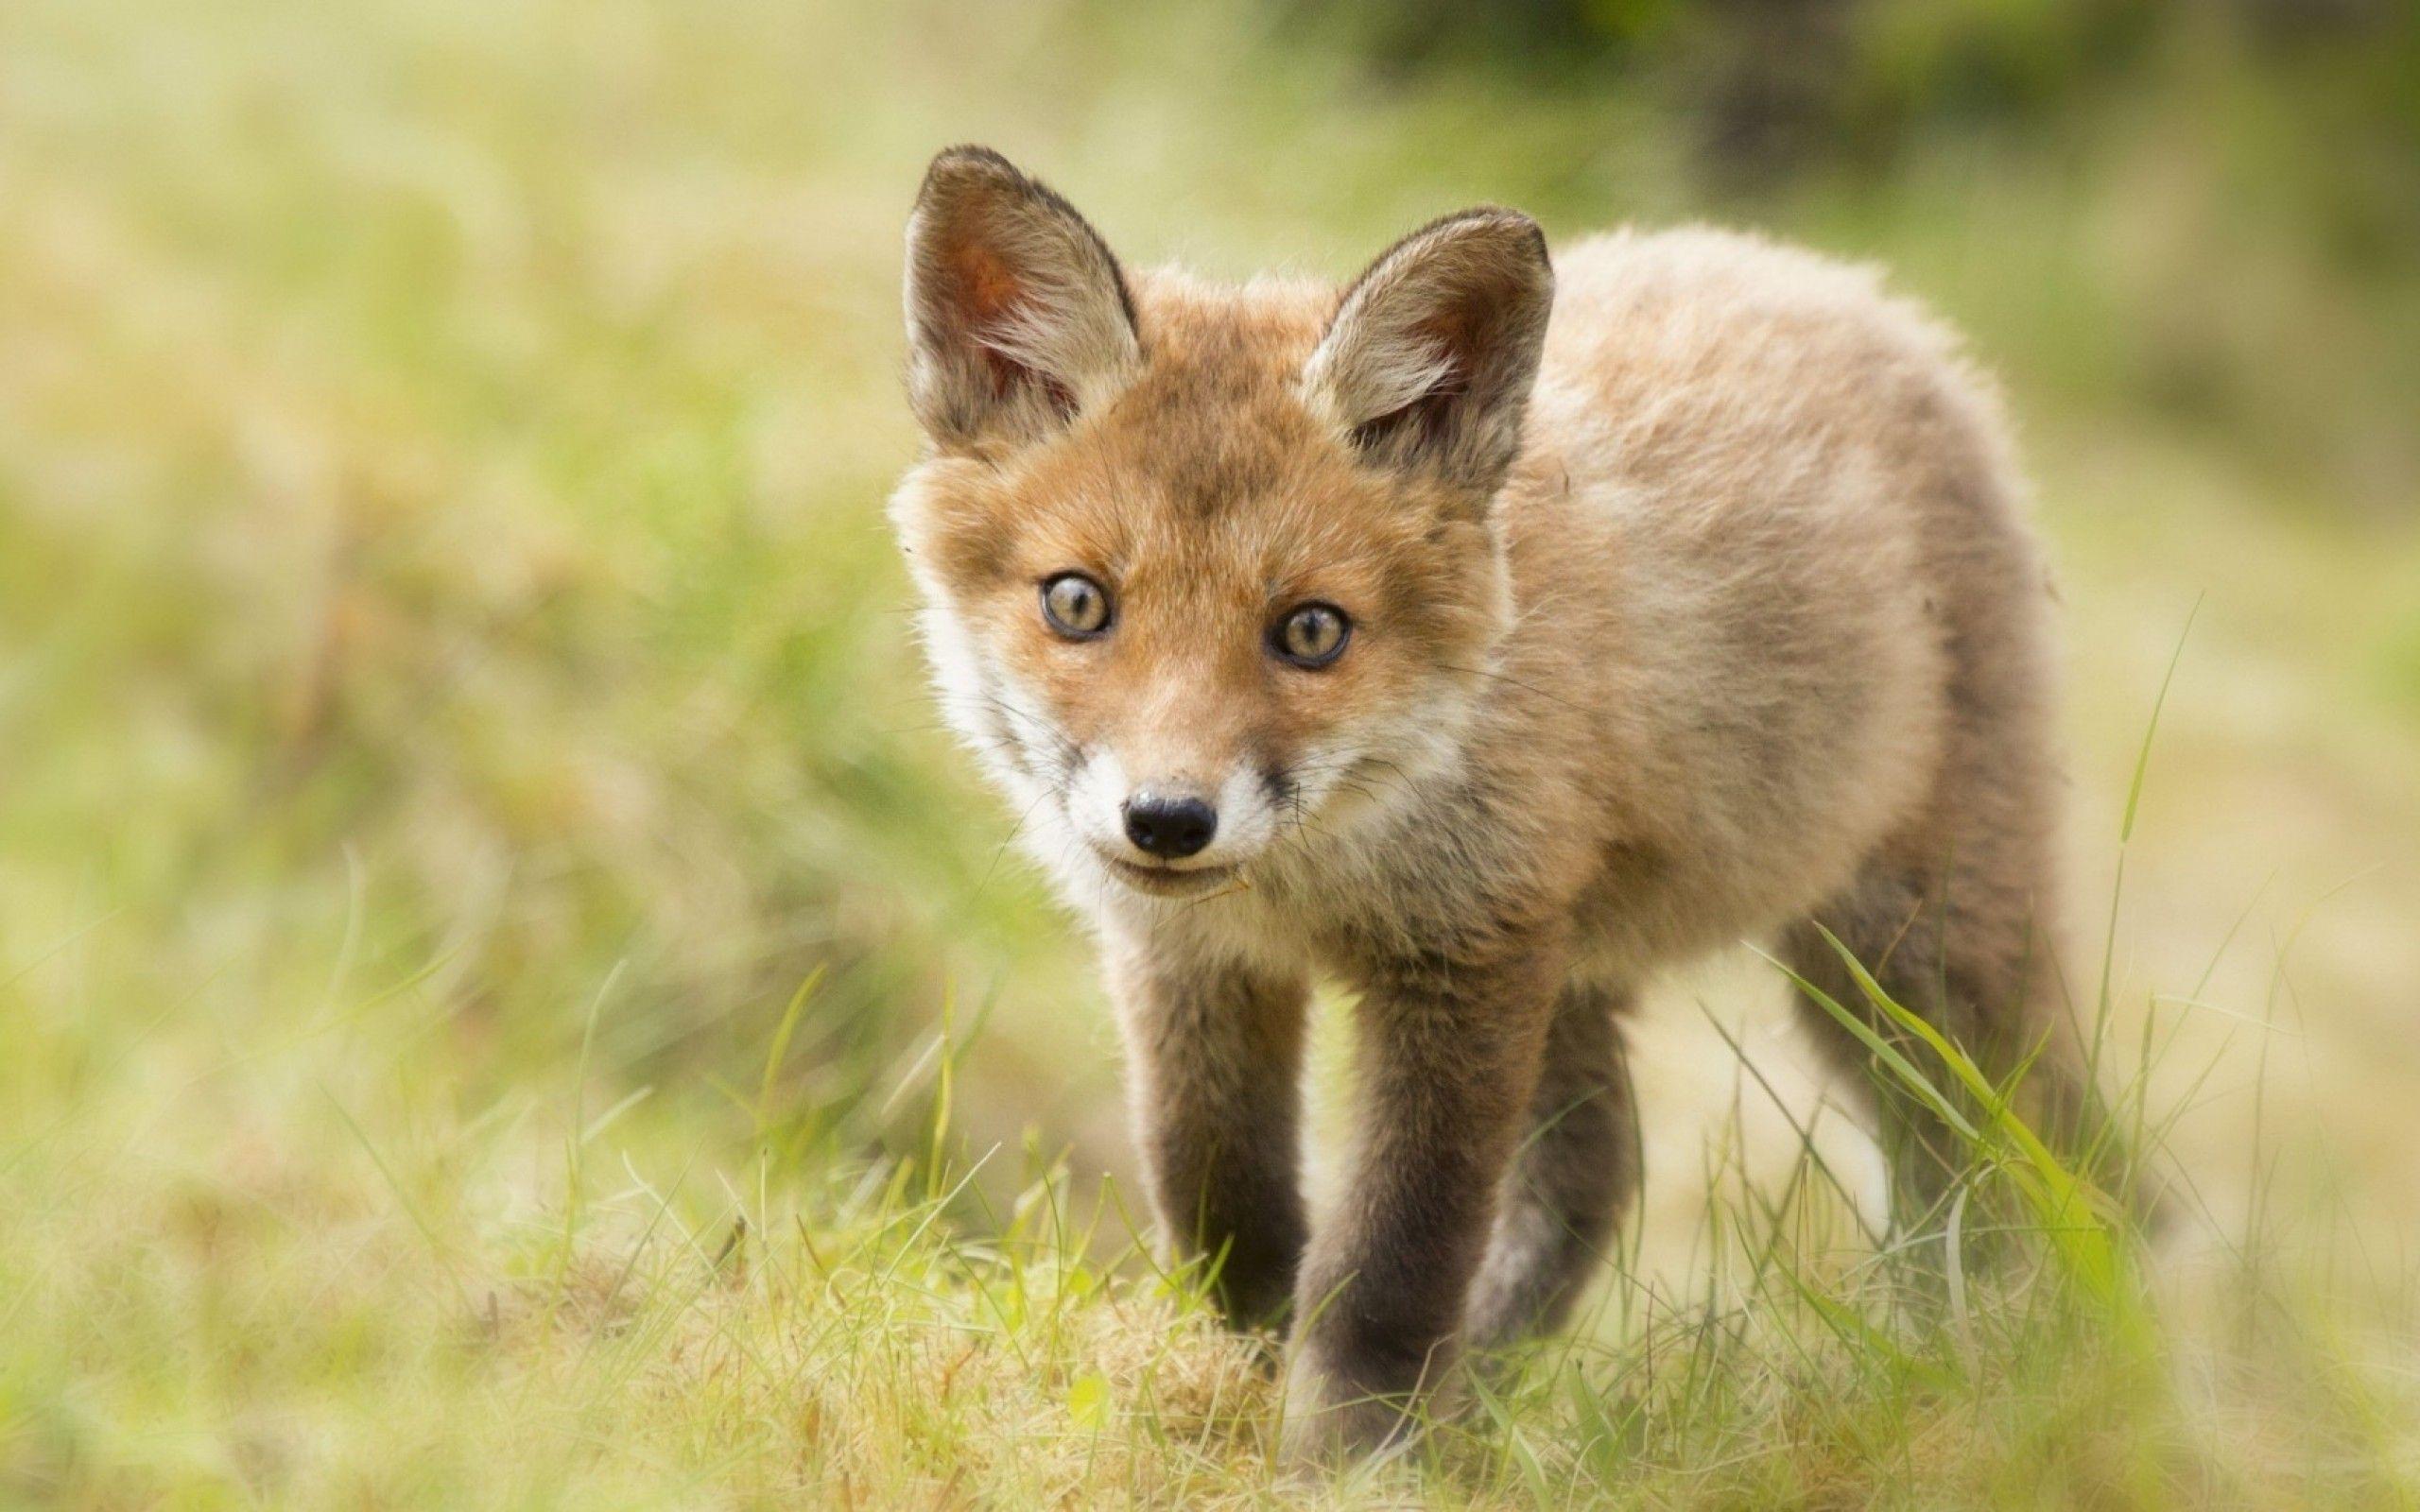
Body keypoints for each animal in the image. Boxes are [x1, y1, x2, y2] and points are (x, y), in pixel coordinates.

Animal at [887, 145, 2149, 1460]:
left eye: (1310, 631)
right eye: (1078, 603)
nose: (1169, 820)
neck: (1319, 875)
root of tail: (1842, 284)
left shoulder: (1465, 954)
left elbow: (1395, 1255)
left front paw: (1357, 1453)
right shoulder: (1195, 959)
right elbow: (1223, 1197)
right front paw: (1237, 1385)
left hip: (1911, 960)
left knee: (2027, 1155)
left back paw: (2016, 1368)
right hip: (1598, 967)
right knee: (1603, 1170)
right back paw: (1493, 1396)